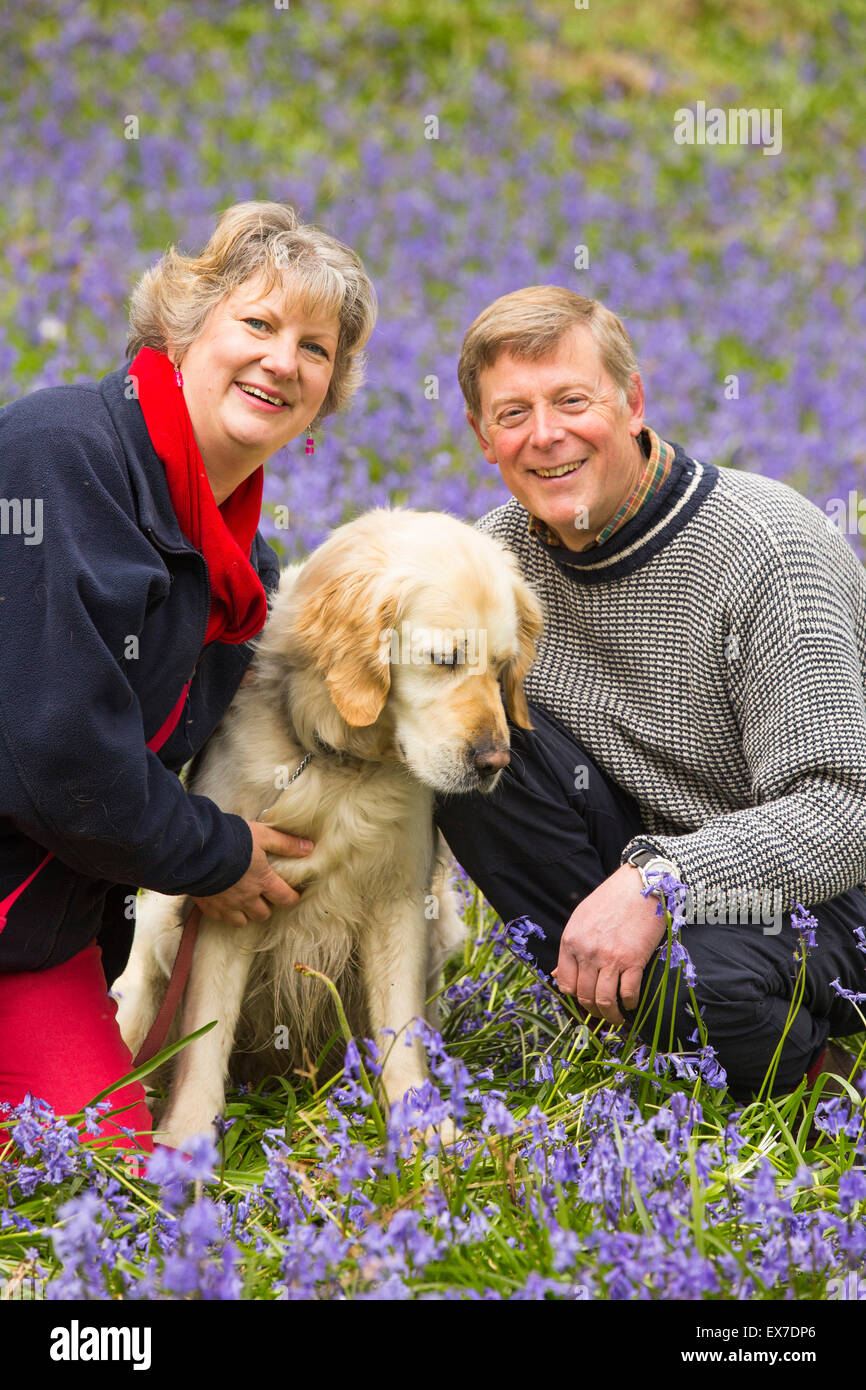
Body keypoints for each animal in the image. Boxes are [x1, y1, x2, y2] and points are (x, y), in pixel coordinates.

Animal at [115, 511, 542, 1150]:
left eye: (501, 669)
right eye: (444, 659)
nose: (495, 762)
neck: (338, 759)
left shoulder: (399, 903)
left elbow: (400, 1033)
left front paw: (423, 1131)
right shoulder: (228, 908)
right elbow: (205, 1042)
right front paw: (184, 1143)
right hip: (159, 938)